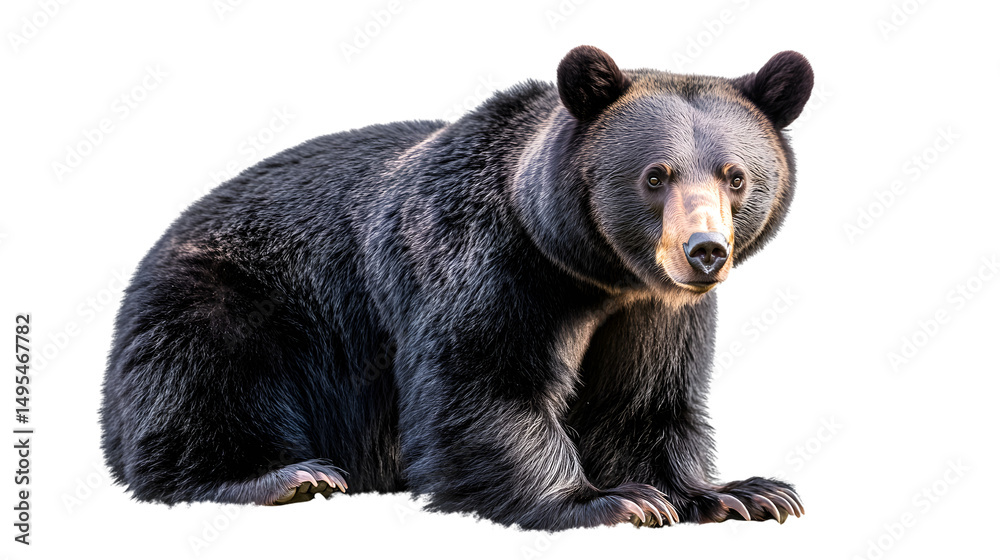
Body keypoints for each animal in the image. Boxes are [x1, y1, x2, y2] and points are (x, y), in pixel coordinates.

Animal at [100, 45, 813, 531]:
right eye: (655, 175)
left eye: (736, 176)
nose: (705, 251)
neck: (587, 270)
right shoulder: (482, 260)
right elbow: (481, 380)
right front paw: (607, 499)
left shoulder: (652, 310)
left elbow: (643, 402)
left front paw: (740, 492)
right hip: (226, 296)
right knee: (204, 383)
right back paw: (286, 476)